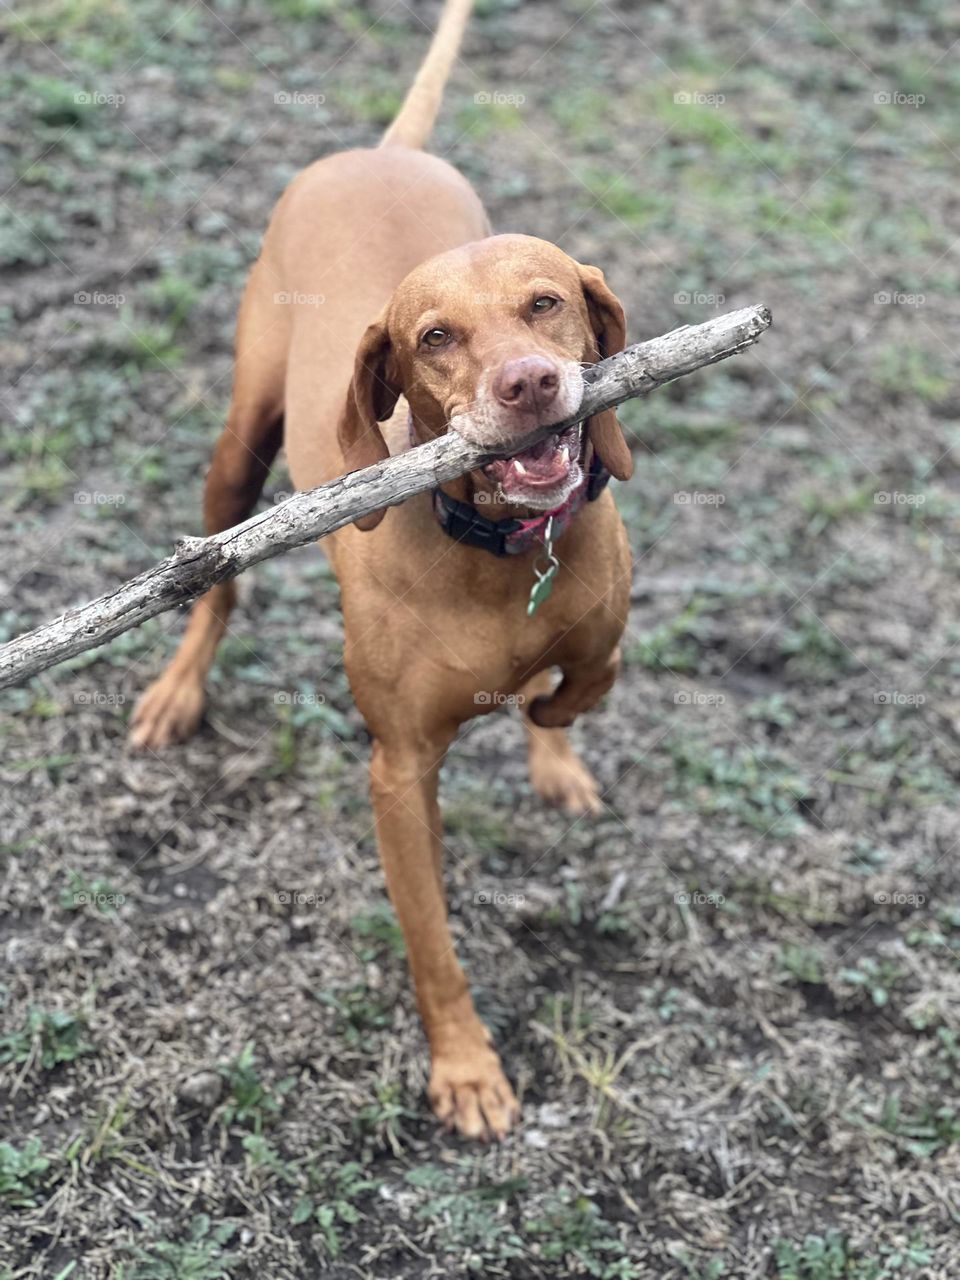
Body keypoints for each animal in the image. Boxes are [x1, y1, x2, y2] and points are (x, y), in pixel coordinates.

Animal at [133, 0, 632, 1141]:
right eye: (434, 337)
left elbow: (582, 674)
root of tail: (380, 150)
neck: (499, 552)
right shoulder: (399, 771)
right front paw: (466, 1069)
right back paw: (178, 690)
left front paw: (549, 722)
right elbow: (432, 939)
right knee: (214, 582)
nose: (528, 384)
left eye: (546, 304)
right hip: (238, 446)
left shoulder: (599, 621)